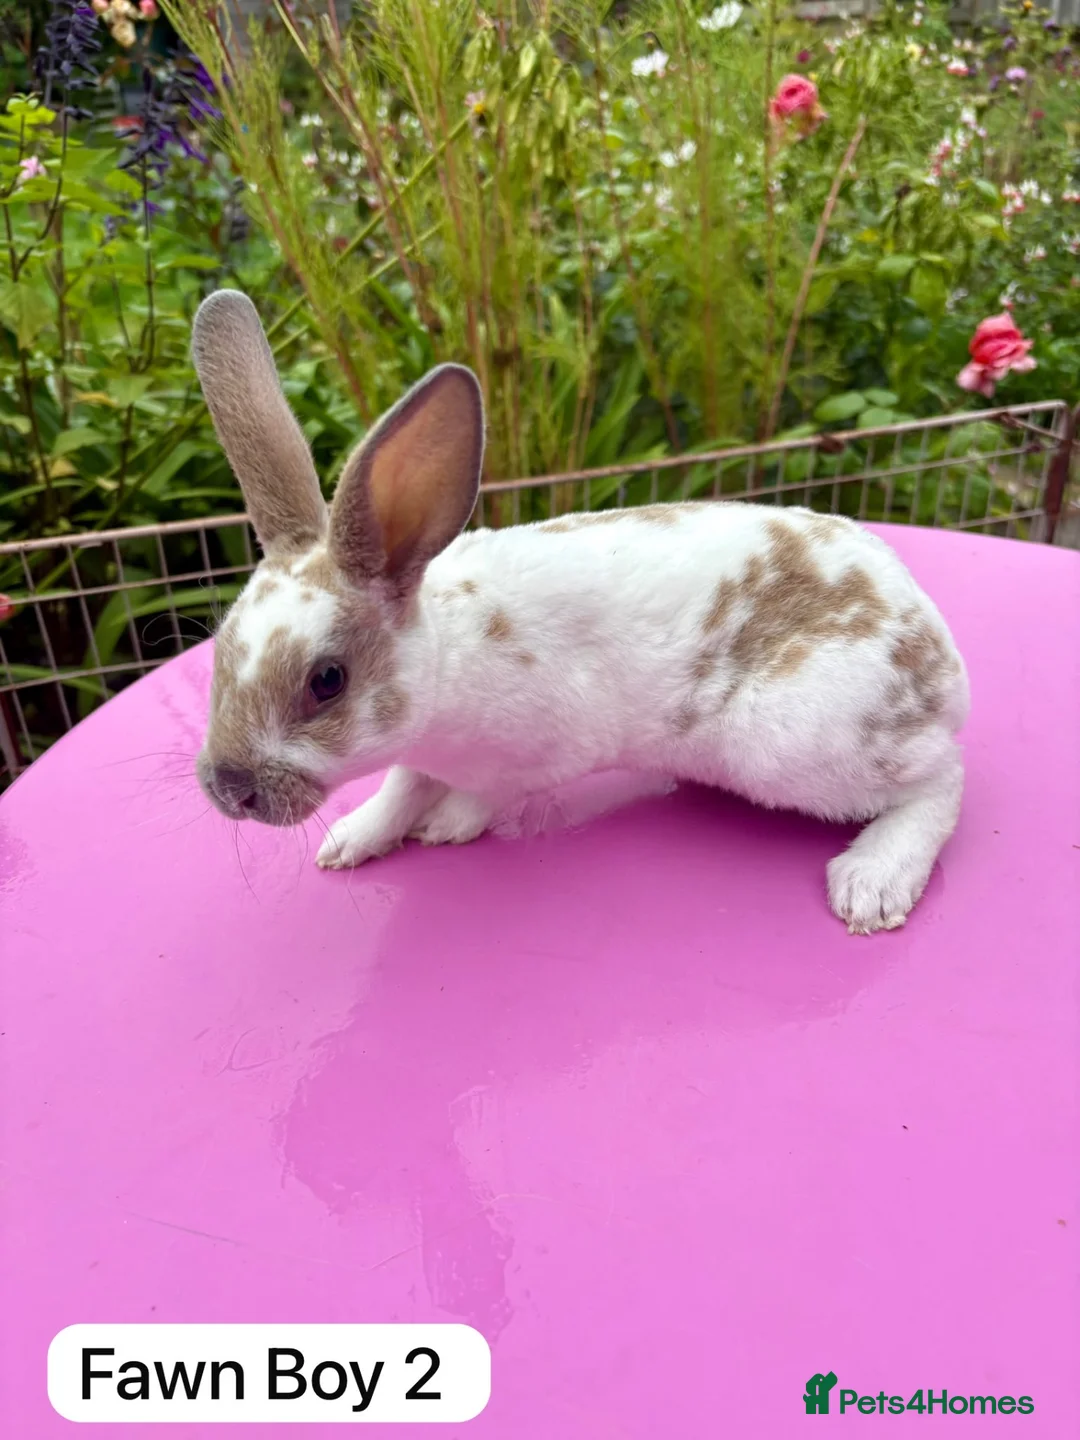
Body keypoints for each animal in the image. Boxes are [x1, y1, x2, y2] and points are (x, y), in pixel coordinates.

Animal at [191, 290, 969, 935]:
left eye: (327, 680)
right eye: (219, 651)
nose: (229, 789)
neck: (445, 663)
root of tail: (939, 656)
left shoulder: (543, 748)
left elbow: (484, 792)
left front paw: (449, 826)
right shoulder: (418, 755)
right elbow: (400, 787)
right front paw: (349, 840)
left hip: (795, 740)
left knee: (942, 781)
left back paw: (871, 883)